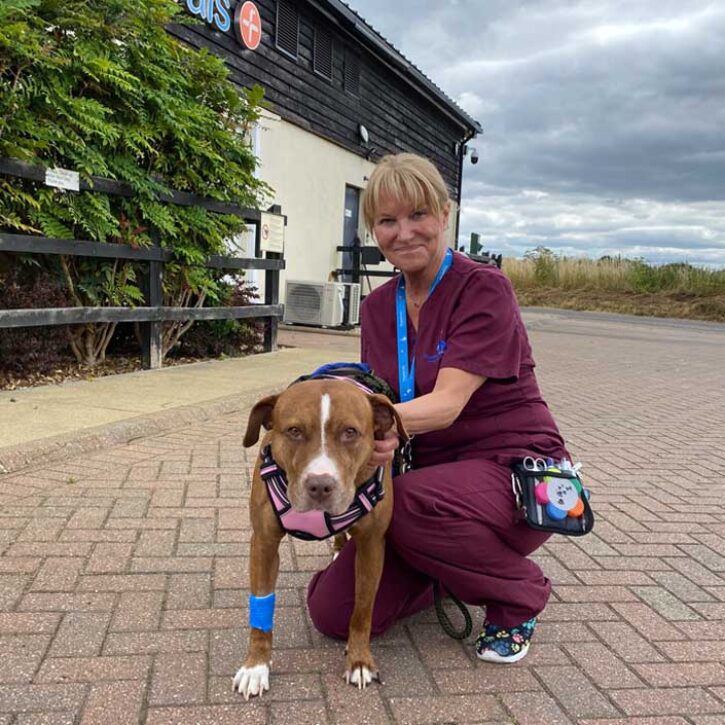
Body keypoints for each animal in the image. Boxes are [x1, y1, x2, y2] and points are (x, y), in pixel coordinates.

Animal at [232, 376, 404, 700]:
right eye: (294, 431)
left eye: (350, 432)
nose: (320, 485)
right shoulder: (263, 543)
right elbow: (260, 610)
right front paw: (256, 666)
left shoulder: (372, 545)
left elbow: (362, 609)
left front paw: (359, 660)